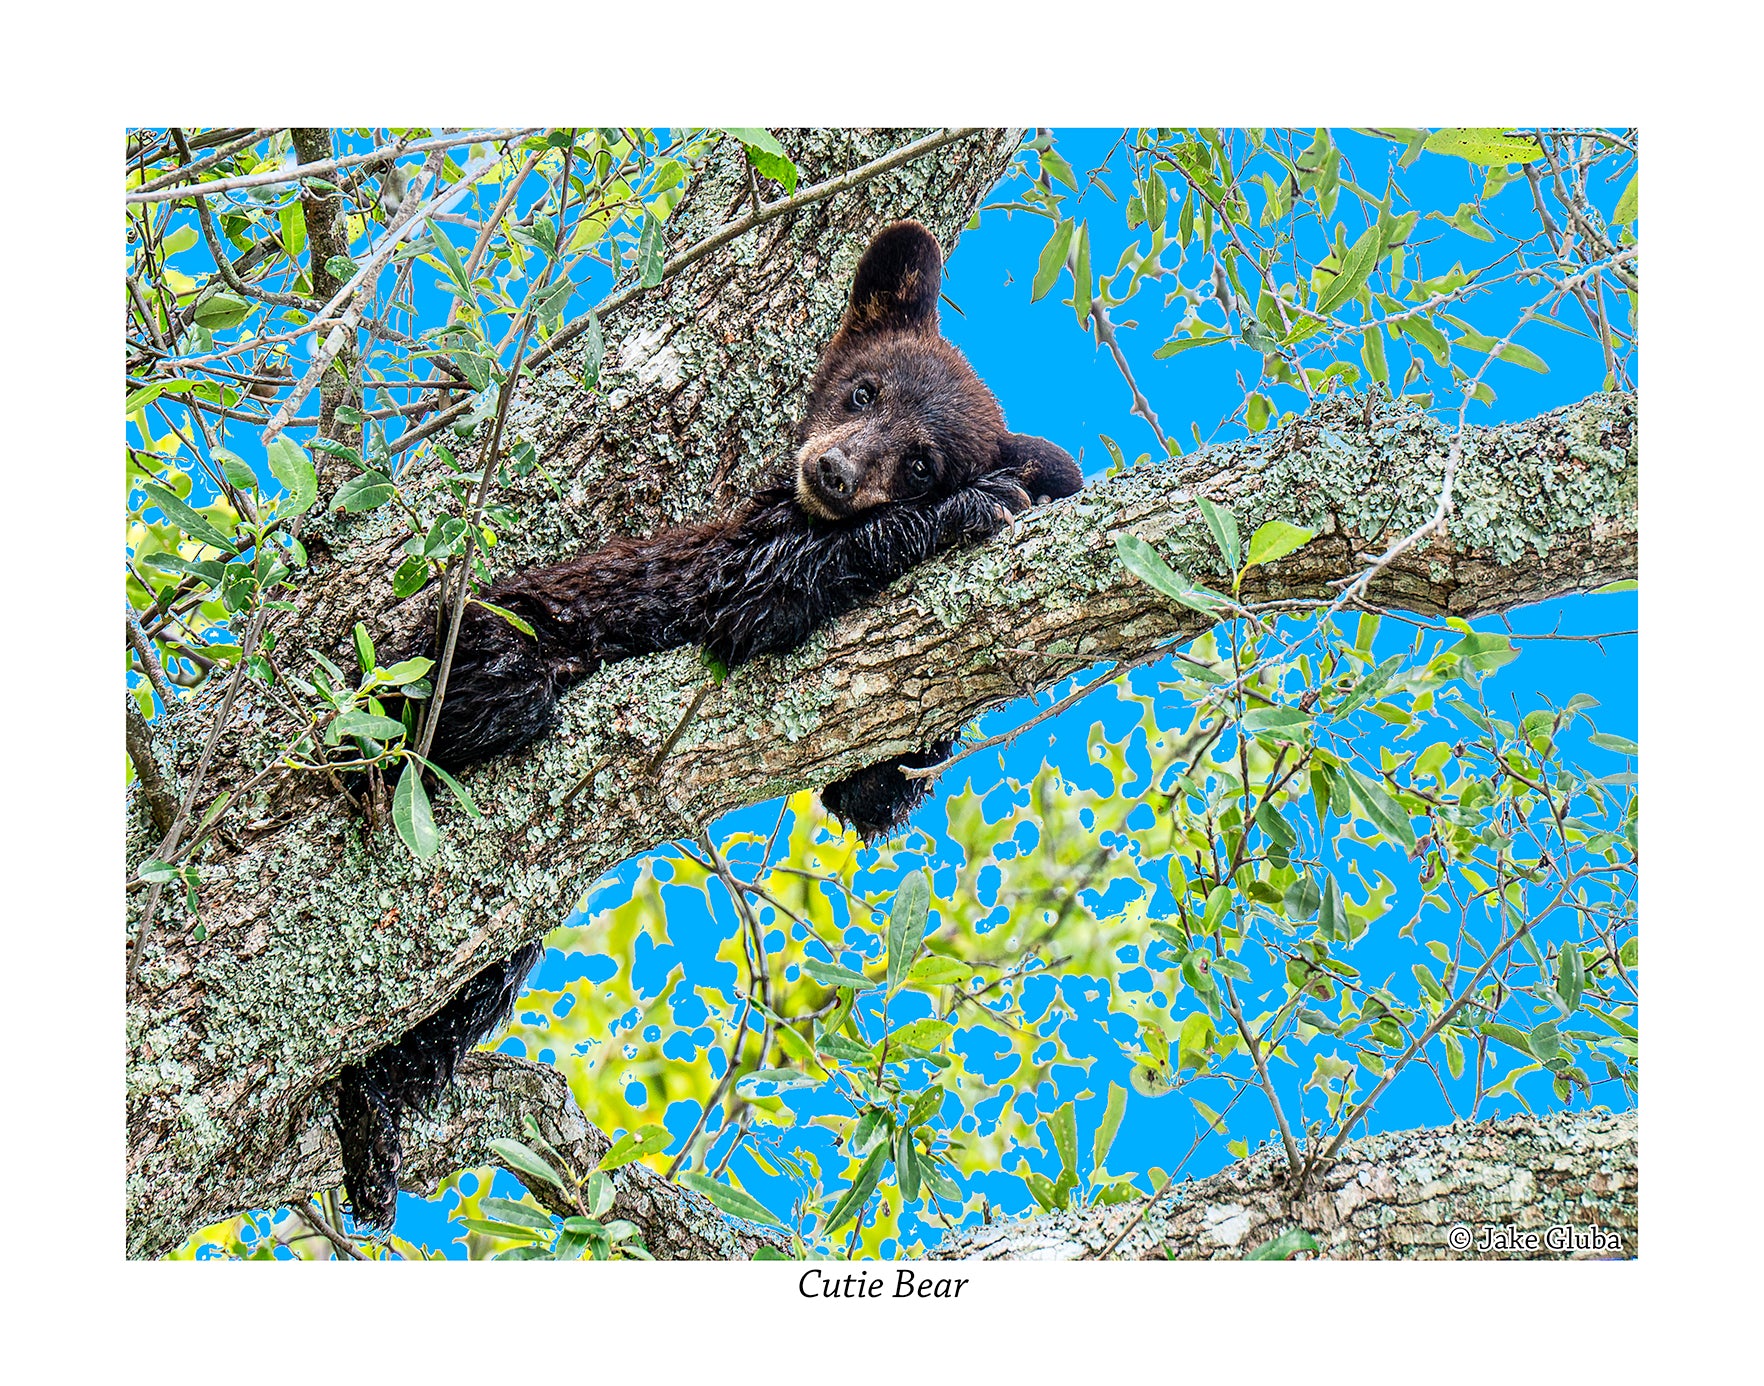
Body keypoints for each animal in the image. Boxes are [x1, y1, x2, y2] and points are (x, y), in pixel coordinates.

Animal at [333, 219, 1084, 1231]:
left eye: (922, 458)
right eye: (863, 391)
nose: (834, 471)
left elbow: (865, 794)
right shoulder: (725, 553)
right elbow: (763, 584)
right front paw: (979, 507)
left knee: (465, 985)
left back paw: (375, 1113)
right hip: (453, 653)